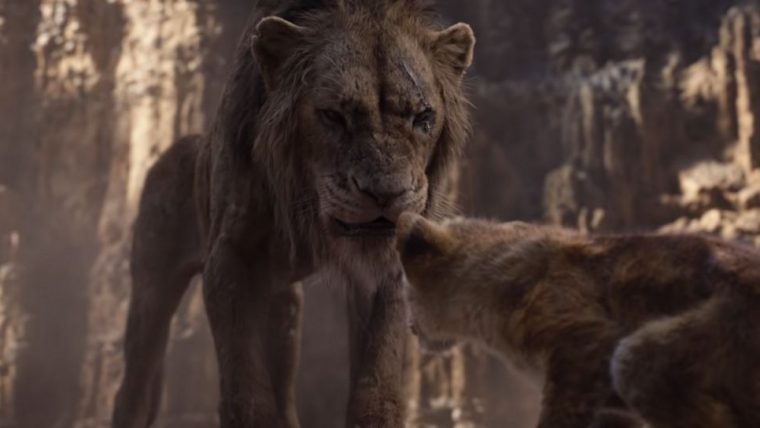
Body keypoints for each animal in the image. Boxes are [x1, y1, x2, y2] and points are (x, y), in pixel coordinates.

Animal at [111, 0, 475, 427]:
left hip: (283, 306)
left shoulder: (383, 268)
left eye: (423, 118)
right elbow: (247, 385)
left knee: (284, 386)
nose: (387, 194)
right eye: (333, 116)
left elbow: (377, 379)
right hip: (151, 291)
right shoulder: (230, 255)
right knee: (135, 385)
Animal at [396, 213, 760, 428]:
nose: (409, 329)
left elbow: (558, 417)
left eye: (405, 289)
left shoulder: (583, 345)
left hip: (638, 359)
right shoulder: (610, 409)